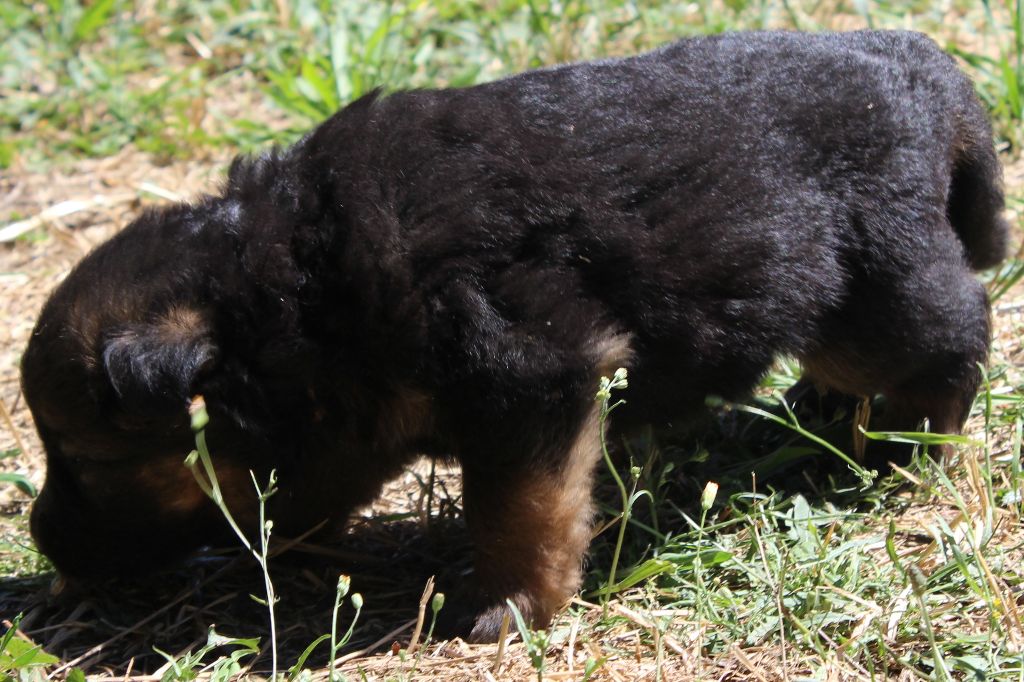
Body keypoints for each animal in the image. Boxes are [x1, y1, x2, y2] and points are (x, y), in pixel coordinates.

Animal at [24, 30, 1007, 638]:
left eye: (82, 462)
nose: (43, 547)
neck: (294, 284)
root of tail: (923, 67)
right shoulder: (354, 414)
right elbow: (307, 487)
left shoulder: (531, 372)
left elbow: (521, 510)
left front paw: (510, 609)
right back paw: (828, 413)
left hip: (870, 291)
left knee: (953, 327)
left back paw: (904, 446)